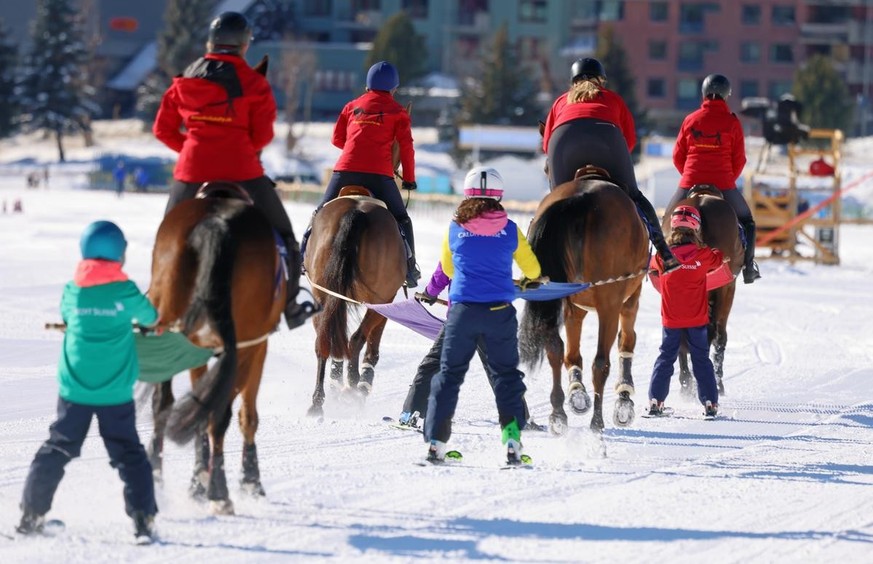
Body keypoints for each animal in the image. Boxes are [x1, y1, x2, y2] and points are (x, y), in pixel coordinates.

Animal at [146, 182, 286, 516]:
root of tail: (216, 222)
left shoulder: (197, 350)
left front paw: (197, 482)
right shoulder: (257, 347)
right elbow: (247, 416)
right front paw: (250, 481)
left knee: (163, 403)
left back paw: (156, 480)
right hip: (244, 345)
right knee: (220, 414)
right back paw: (219, 493)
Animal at [304, 187, 406, 416]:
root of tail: (356, 212)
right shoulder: (387, 301)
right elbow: (372, 348)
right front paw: (362, 384)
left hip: (323, 294)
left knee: (324, 342)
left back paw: (317, 401)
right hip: (379, 299)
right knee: (356, 339)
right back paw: (354, 385)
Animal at [516, 167, 648, 432]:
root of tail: (579, 197)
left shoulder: (573, 308)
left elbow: (571, 354)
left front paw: (577, 393)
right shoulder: (629, 299)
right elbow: (627, 340)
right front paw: (624, 399)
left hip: (555, 295)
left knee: (555, 348)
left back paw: (558, 414)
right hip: (610, 304)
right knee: (601, 362)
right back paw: (597, 422)